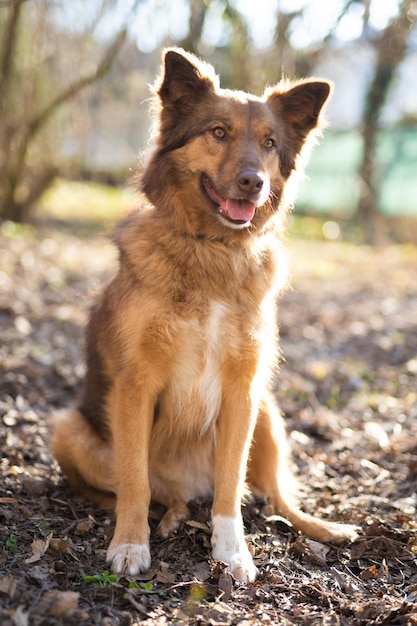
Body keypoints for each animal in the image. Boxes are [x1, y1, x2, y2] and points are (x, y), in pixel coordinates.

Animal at [52, 47, 358, 580]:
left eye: (270, 143)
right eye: (218, 131)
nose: (254, 183)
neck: (211, 250)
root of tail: (187, 488)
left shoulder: (243, 390)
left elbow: (231, 486)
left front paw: (232, 552)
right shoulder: (134, 386)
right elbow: (134, 479)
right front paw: (130, 544)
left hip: (268, 410)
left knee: (276, 496)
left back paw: (324, 527)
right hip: (67, 430)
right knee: (146, 490)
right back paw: (163, 514)